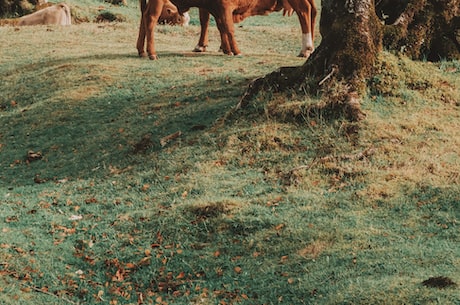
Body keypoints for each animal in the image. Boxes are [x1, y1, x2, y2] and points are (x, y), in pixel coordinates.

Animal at [137, 0, 316, 60]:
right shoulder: (219, 7)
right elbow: (223, 26)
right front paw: (230, 49)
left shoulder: (222, 7)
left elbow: (224, 27)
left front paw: (230, 49)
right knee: (148, 18)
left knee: (306, 10)